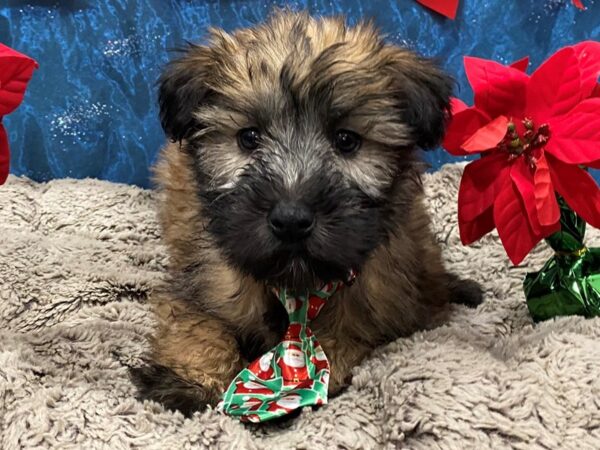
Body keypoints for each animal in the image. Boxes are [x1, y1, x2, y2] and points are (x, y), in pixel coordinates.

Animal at [132, 10, 482, 416]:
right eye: (248, 138)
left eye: (346, 140)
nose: (291, 220)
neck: (296, 285)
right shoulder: (201, 282)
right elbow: (198, 328)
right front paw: (188, 379)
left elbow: (341, 334)